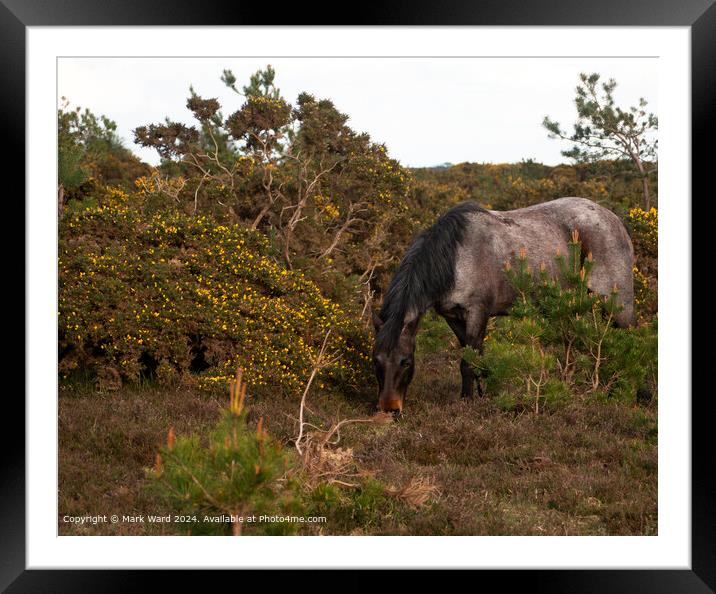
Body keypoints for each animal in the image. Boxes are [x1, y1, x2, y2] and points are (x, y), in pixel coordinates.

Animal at [372, 198, 636, 412]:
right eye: (376, 361)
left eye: (406, 361)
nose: (389, 409)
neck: (456, 258)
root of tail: (615, 221)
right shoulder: (454, 317)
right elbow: (476, 356)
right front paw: (482, 394)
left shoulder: (477, 313)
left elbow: (468, 363)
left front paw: (467, 402)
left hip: (617, 303)